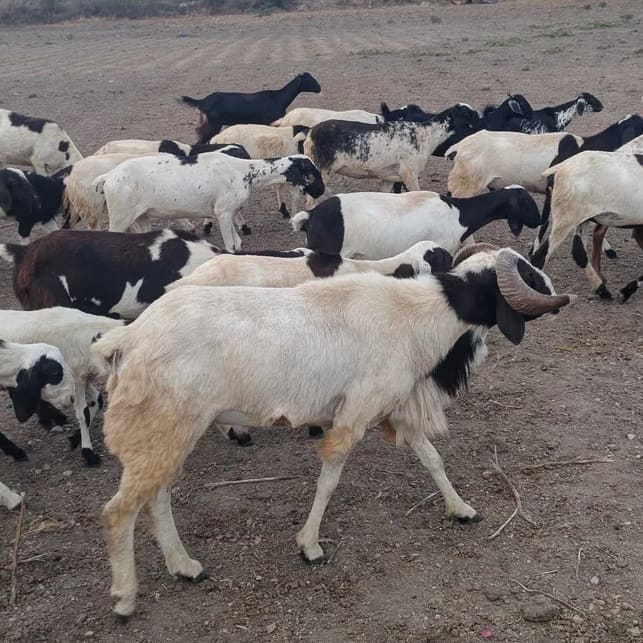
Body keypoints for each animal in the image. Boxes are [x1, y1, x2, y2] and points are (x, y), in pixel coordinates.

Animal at [1, 308, 126, 465]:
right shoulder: (76, 378)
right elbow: (83, 413)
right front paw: (88, 452)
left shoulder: (82, 377)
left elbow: (97, 399)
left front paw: (76, 438)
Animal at [90, 244, 573, 618]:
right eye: (528, 272)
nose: (557, 292)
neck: (418, 316)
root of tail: (126, 341)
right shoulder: (356, 412)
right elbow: (330, 478)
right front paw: (310, 547)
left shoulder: (392, 405)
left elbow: (431, 458)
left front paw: (462, 509)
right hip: (165, 425)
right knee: (118, 511)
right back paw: (126, 598)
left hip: (168, 431)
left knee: (156, 499)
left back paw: (185, 567)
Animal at [98, 153, 324, 252]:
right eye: (312, 174)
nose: (321, 191)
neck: (245, 172)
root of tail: (109, 176)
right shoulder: (223, 213)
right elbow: (231, 246)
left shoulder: (227, 213)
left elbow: (238, 243)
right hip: (119, 217)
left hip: (141, 217)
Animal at [303, 105, 479, 194]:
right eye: (469, 116)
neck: (426, 135)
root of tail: (310, 135)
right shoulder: (409, 173)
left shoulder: (389, 177)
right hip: (322, 171)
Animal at [530, 151, 643, 301]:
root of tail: (559, 168)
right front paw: (626, 292)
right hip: (566, 219)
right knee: (540, 257)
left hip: (581, 219)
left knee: (579, 253)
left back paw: (602, 290)